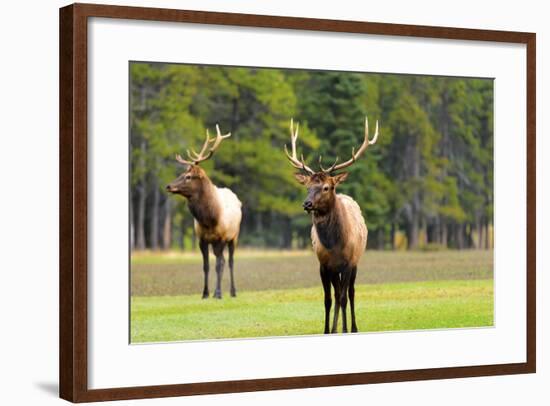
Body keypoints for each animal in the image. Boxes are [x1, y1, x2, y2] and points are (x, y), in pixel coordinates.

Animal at [167, 125, 243, 300]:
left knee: (230, 261)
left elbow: (218, 265)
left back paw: (233, 292)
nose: (168, 186)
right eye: (181, 174)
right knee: (222, 261)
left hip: (234, 237)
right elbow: (206, 266)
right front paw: (205, 293)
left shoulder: (221, 238)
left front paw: (218, 293)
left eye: (188, 176)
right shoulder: (202, 240)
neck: (209, 219)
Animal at [284, 116, 380, 334]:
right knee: (336, 295)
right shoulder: (324, 264)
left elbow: (344, 297)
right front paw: (328, 330)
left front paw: (345, 329)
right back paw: (336, 327)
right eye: (307, 186)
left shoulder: (349, 262)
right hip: (334, 270)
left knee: (350, 293)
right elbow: (328, 299)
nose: (307, 204)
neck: (334, 244)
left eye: (326, 187)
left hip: (355, 262)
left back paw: (353, 327)